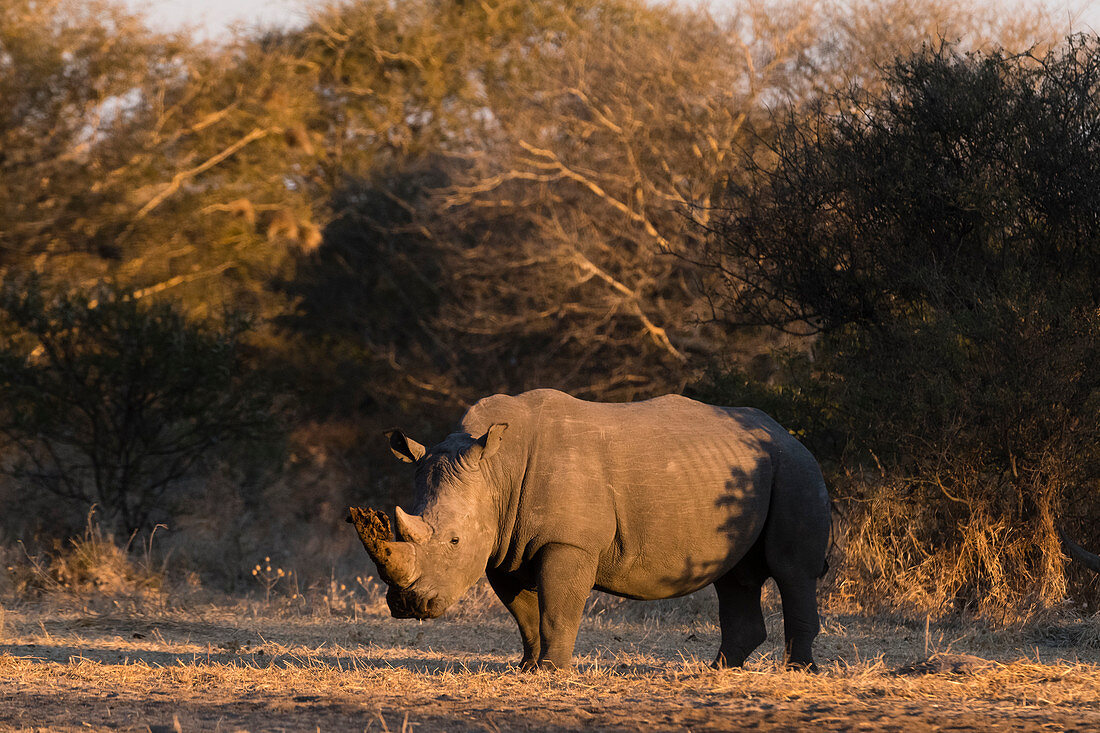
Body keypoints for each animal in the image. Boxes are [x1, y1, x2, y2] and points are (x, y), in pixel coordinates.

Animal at [347, 387, 827, 669]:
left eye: (454, 540)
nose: (408, 605)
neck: (497, 471)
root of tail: (787, 432)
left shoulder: (567, 542)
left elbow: (557, 610)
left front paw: (552, 671)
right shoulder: (504, 546)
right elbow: (525, 615)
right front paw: (528, 668)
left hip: (795, 467)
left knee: (792, 571)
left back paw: (797, 671)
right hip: (745, 469)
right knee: (733, 577)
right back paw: (719, 670)